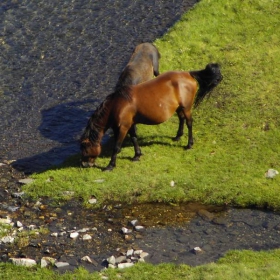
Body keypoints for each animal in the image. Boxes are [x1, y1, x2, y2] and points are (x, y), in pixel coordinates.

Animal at [81, 63, 223, 171]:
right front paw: (137, 155)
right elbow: (134, 138)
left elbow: (116, 147)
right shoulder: (130, 124)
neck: (118, 104)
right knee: (181, 119)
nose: (84, 164)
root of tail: (188, 74)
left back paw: (189, 144)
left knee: (189, 122)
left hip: (186, 107)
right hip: (179, 108)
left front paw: (110, 166)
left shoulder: (123, 127)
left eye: (85, 148)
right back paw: (177, 136)